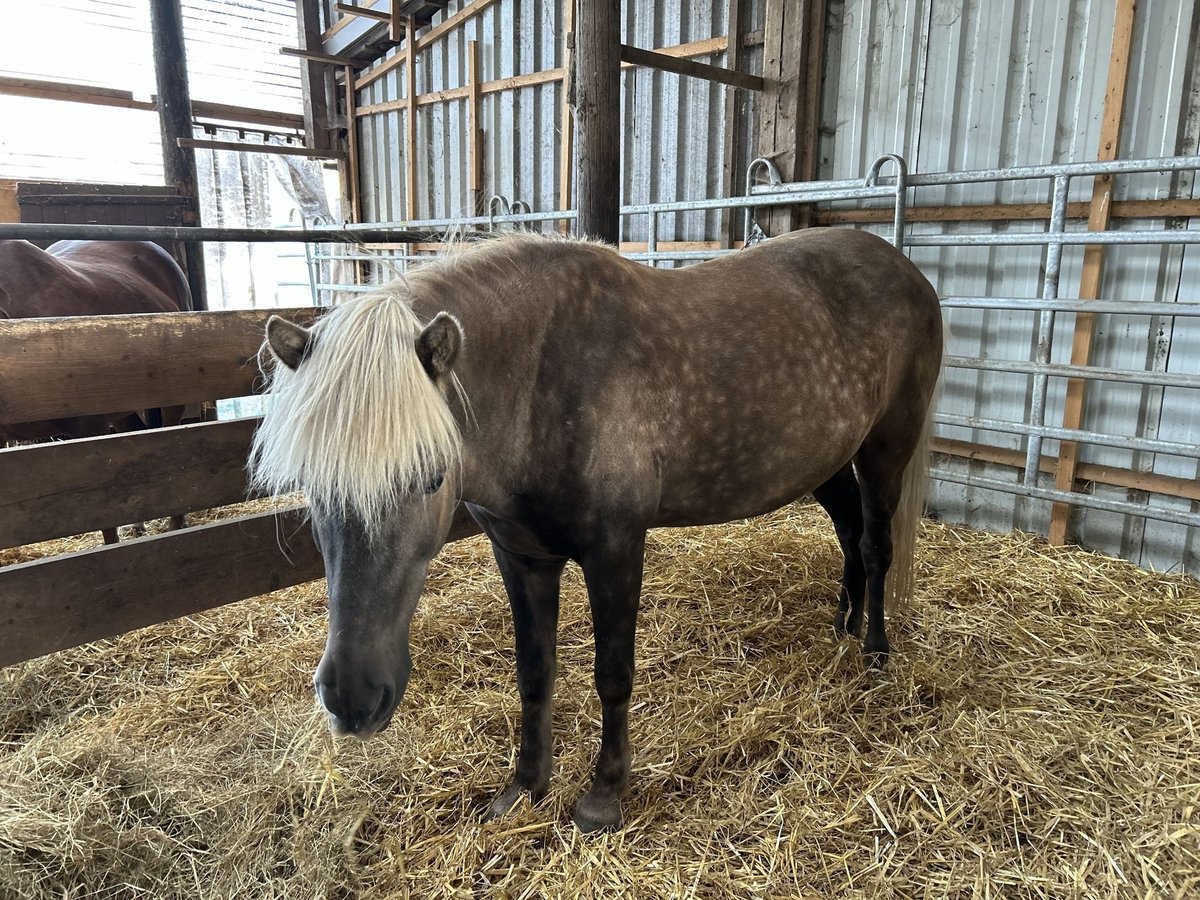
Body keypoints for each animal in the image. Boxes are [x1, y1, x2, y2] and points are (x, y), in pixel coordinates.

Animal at [249, 229, 943, 832]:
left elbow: (613, 673)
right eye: (310, 483)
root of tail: (903, 268)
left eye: (429, 475)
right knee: (849, 534)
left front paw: (603, 796)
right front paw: (525, 787)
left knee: (875, 544)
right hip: (825, 460)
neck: (541, 380)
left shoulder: (615, 551)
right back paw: (844, 623)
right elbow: (535, 673)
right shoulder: (521, 557)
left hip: (886, 447)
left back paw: (875, 652)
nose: (352, 700)